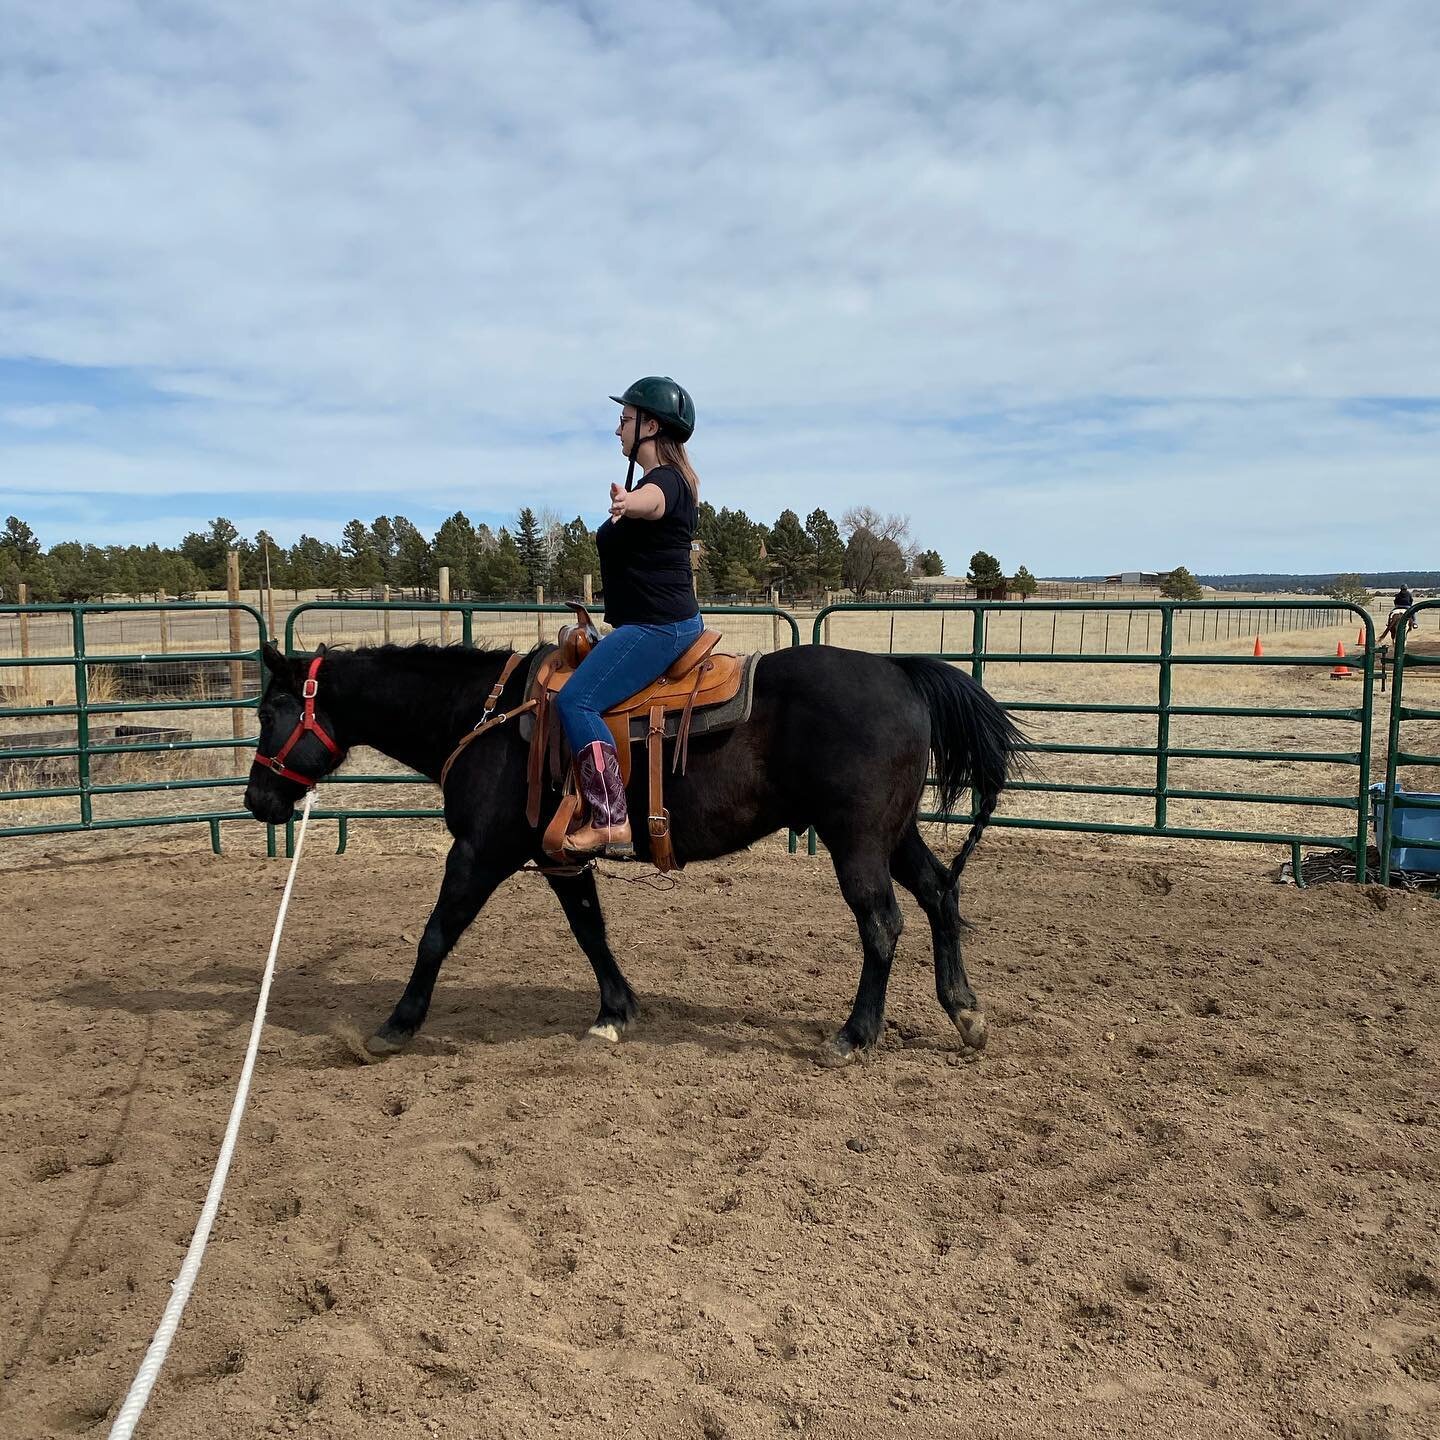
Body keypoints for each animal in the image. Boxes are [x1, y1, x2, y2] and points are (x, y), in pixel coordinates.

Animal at [241, 639, 1025, 1059]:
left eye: (272, 710)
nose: (257, 801)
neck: (484, 717)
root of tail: (899, 670)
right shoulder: (559, 856)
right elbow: (590, 930)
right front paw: (615, 1011)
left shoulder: (478, 851)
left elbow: (436, 933)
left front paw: (396, 1025)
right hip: (894, 834)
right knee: (941, 894)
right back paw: (965, 1011)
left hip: (855, 840)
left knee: (881, 924)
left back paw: (855, 1034)